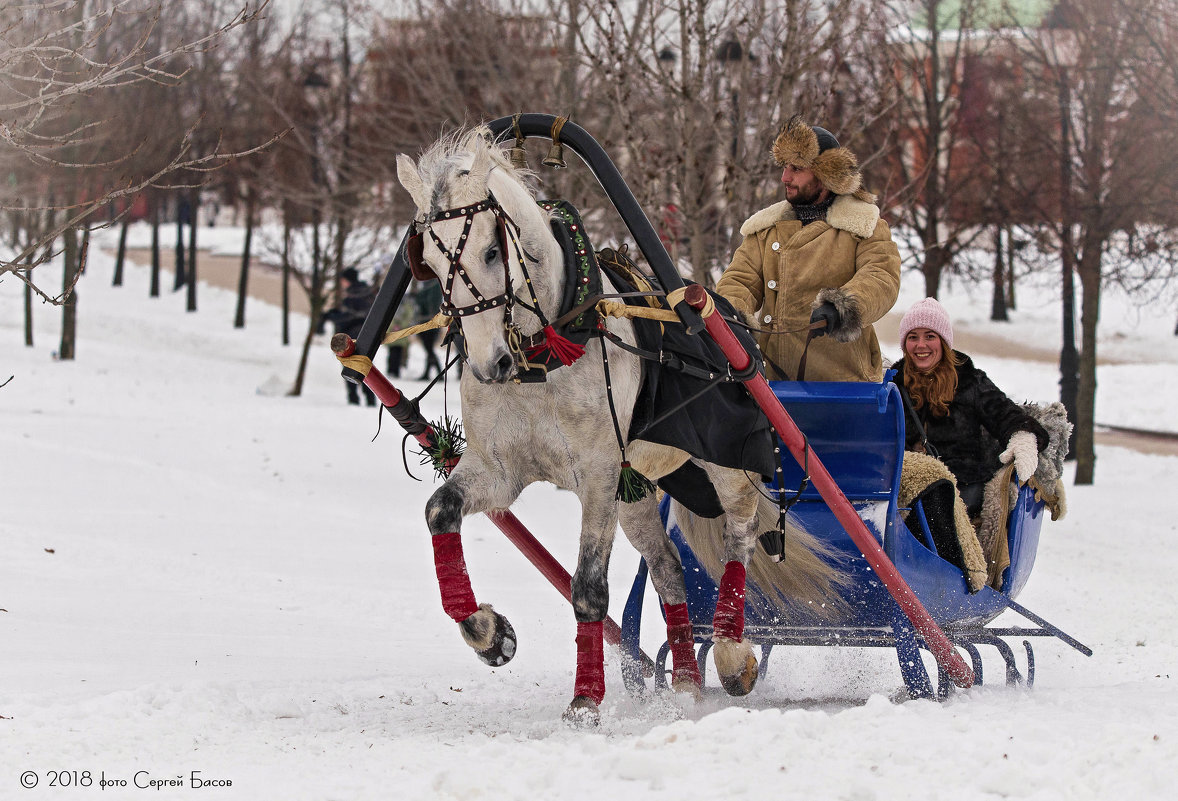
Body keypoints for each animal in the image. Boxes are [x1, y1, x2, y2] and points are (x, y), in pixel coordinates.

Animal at [398, 128, 848, 720]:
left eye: (492, 251)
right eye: (425, 259)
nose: (489, 364)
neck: (548, 351)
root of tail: (731, 317)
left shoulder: (596, 474)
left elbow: (588, 587)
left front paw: (586, 698)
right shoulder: (500, 470)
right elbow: (438, 512)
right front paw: (489, 633)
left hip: (726, 465)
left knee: (741, 537)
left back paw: (731, 655)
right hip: (636, 490)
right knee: (669, 569)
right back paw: (686, 684)